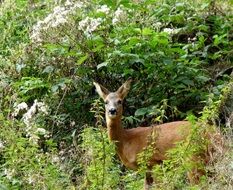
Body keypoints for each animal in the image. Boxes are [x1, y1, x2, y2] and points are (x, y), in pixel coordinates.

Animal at [92, 78, 222, 189]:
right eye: (106, 102)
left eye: (120, 101)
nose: (112, 110)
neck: (126, 140)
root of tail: (214, 133)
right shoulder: (146, 170)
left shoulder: (154, 161)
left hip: (192, 156)